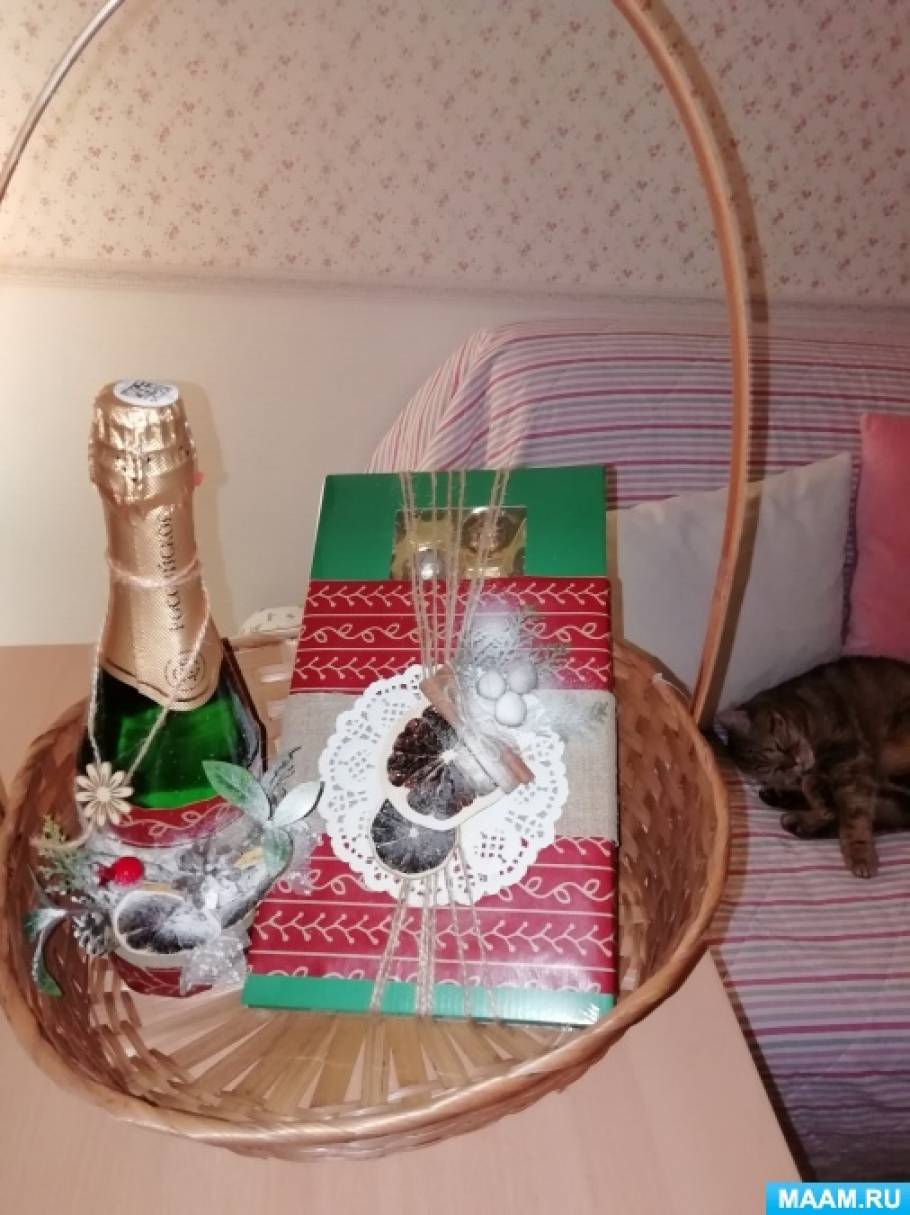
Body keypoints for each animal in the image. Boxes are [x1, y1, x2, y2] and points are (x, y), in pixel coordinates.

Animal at [718, 656, 910, 878]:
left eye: (778, 746)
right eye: (776, 770)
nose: (794, 763)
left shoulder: (851, 757)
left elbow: (854, 812)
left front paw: (858, 850)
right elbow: (816, 787)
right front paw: (818, 797)